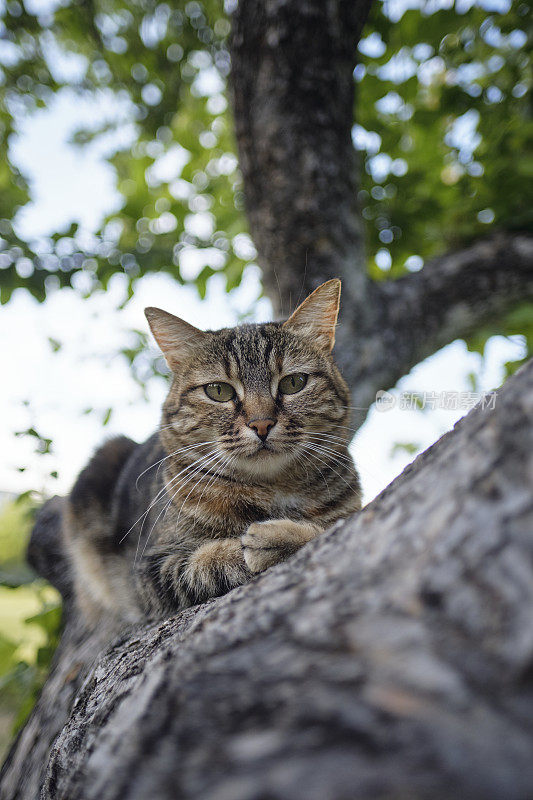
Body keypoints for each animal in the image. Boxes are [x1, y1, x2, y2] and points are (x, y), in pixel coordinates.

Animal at [63, 278, 362, 620]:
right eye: (218, 390)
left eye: (294, 383)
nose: (262, 424)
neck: (272, 492)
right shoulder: (149, 570)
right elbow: (204, 565)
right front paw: (262, 541)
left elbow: (333, 523)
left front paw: (281, 536)